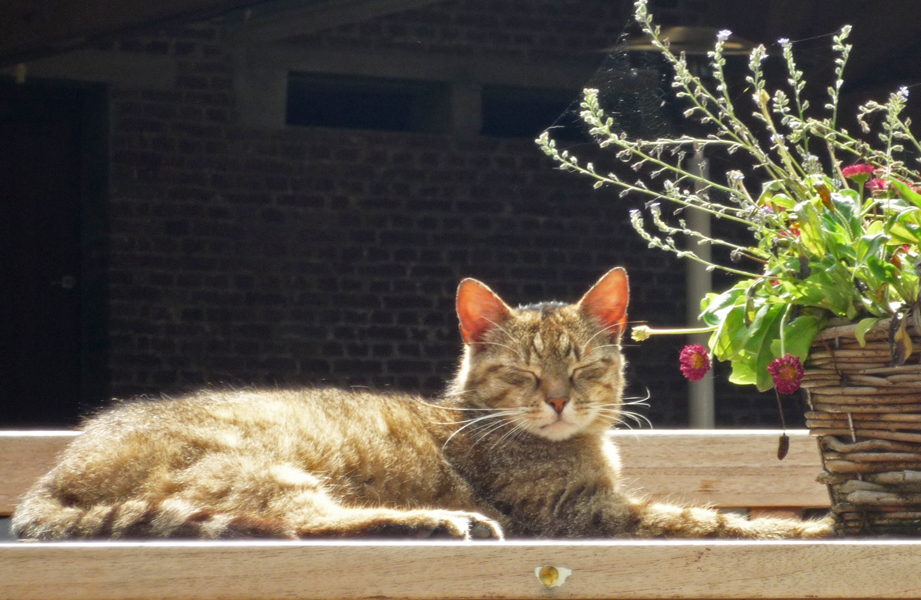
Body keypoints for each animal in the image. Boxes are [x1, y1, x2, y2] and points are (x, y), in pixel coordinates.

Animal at [10, 268, 832, 540]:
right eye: (525, 373)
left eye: (582, 367)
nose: (559, 402)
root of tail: (53, 477)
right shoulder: (580, 512)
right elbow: (714, 519)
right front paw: (811, 529)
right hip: (262, 470)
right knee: (302, 525)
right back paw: (442, 520)